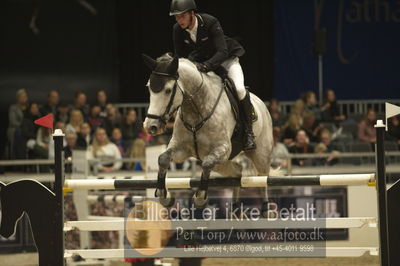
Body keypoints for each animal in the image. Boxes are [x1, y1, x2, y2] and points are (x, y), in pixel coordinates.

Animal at [141, 53, 276, 208]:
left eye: (168, 90)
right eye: (149, 88)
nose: (151, 126)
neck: (196, 110)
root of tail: (262, 104)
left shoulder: (222, 149)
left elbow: (206, 164)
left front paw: (200, 198)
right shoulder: (181, 148)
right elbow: (163, 159)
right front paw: (164, 196)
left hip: (260, 156)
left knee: (263, 180)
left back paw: (265, 208)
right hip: (222, 164)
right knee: (237, 173)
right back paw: (235, 207)